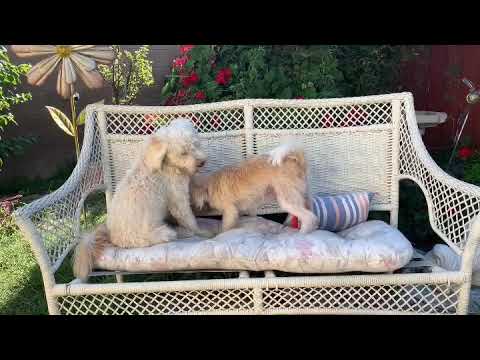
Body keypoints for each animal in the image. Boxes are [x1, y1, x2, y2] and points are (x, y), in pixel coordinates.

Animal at [72, 118, 213, 282]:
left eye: (196, 144)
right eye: (183, 153)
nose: (202, 163)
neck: (166, 165)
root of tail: (113, 237)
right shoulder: (178, 199)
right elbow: (189, 219)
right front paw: (202, 232)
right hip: (155, 235)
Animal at [190, 142, 318, 235]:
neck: (209, 185)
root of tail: (296, 160)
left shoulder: (230, 211)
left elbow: (225, 227)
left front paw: (220, 235)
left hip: (287, 199)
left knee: (310, 217)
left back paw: (302, 233)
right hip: (299, 196)